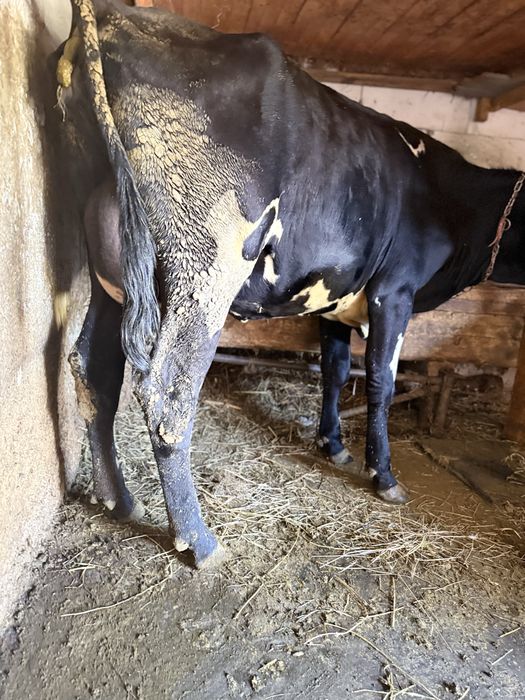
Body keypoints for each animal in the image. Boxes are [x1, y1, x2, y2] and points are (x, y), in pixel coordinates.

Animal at [57, 0, 525, 568]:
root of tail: (110, 14)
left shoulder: (335, 298)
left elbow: (335, 371)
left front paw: (333, 445)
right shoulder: (394, 292)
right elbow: (382, 381)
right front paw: (384, 474)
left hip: (115, 272)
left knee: (92, 368)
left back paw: (119, 500)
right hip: (203, 266)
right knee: (168, 394)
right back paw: (199, 541)